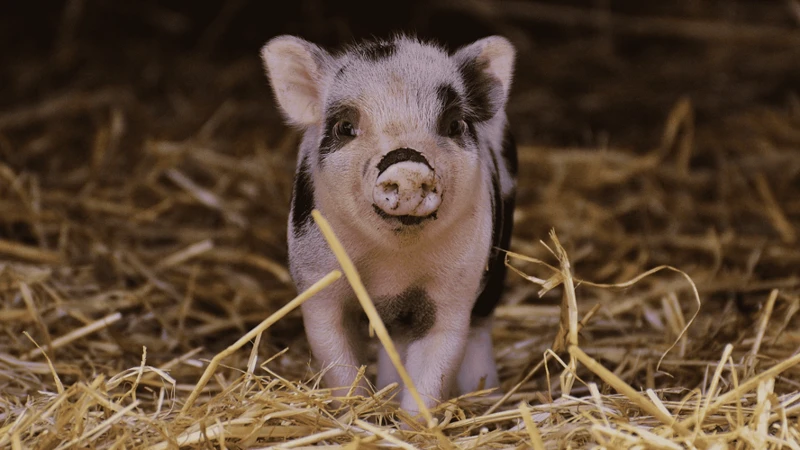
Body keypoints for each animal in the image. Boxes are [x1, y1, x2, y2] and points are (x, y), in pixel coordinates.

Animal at [260, 33, 516, 416]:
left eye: (454, 125)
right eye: (345, 127)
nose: (407, 166)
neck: (392, 269)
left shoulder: (455, 290)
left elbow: (434, 368)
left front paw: (412, 422)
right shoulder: (317, 281)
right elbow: (337, 362)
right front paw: (356, 414)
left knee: (479, 327)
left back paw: (485, 396)